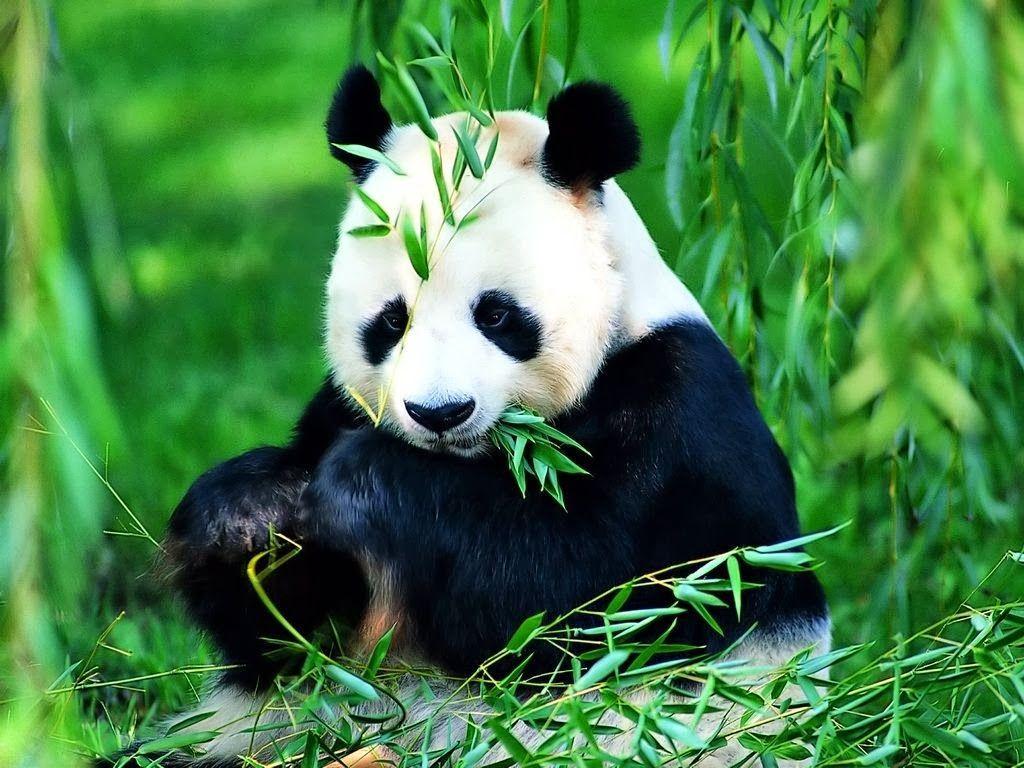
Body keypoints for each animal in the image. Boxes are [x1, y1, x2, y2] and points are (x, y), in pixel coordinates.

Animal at [102, 65, 829, 767]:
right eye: (391, 321)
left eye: (497, 314)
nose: (440, 413)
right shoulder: (336, 408)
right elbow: (289, 637)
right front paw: (249, 513)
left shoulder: (680, 420)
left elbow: (579, 598)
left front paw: (363, 480)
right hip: (258, 732)